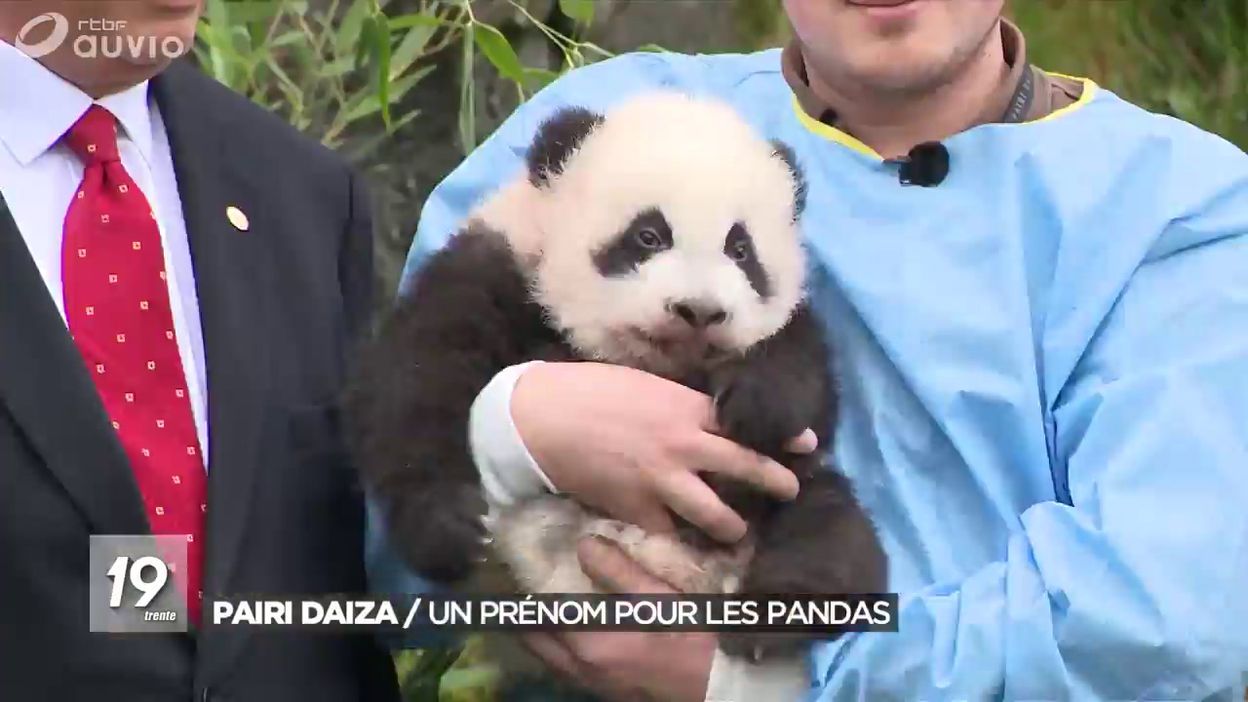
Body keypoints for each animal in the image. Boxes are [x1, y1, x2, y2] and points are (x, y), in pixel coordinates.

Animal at [345, 90, 887, 666]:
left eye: (740, 250)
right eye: (648, 236)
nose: (699, 311)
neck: (652, 364)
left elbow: (806, 383)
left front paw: (759, 405)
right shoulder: (500, 265)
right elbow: (419, 375)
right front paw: (447, 525)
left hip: (779, 505)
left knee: (828, 531)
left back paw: (770, 620)